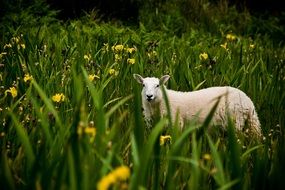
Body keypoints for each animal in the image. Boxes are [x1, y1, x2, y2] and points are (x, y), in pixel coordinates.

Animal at [133, 73, 262, 137]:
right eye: (143, 85)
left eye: (157, 85)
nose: (149, 96)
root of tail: (249, 102)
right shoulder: (151, 124)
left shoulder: (176, 123)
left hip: (236, 120)